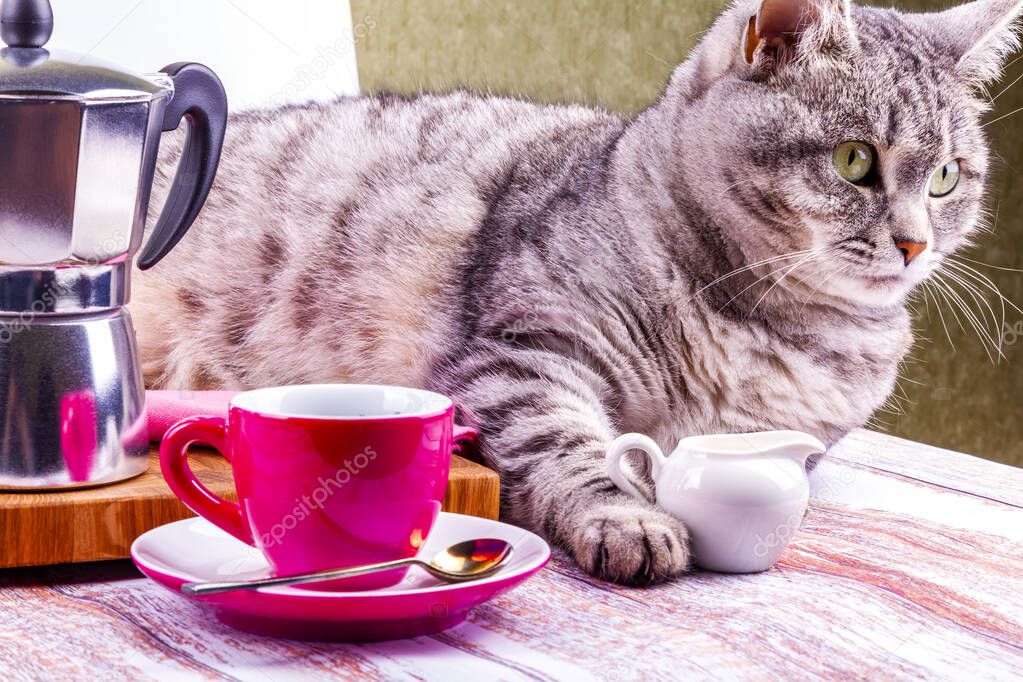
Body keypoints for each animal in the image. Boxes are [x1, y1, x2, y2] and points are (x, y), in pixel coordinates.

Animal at [131, 0, 1018, 584]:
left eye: (946, 177)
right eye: (853, 161)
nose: (913, 243)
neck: (765, 319)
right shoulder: (524, 353)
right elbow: (577, 449)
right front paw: (626, 519)